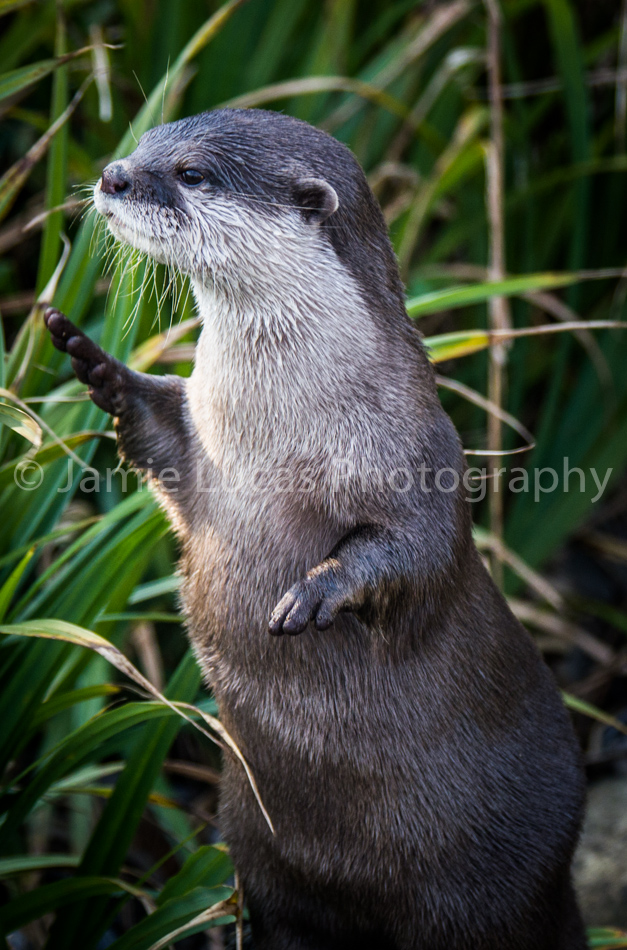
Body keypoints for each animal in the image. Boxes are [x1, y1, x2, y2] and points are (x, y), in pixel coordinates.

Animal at [45, 108, 586, 949]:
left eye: (191, 172)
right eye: (144, 142)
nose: (113, 175)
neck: (285, 435)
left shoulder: (419, 461)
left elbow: (415, 550)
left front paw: (318, 591)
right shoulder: (201, 448)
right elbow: (157, 437)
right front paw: (97, 365)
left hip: (477, 901)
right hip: (262, 859)